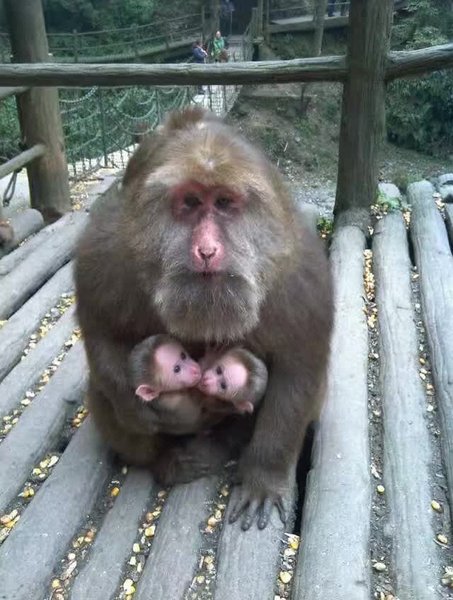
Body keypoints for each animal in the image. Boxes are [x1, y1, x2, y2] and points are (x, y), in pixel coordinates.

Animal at [75, 105, 333, 530]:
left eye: (225, 203)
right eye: (191, 202)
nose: (207, 251)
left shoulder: (300, 275)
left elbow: (298, 370)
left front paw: (263, 477)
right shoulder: (112, 249)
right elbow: (99, 326)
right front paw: (134, 406)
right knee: (99, 388)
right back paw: (166, 460)